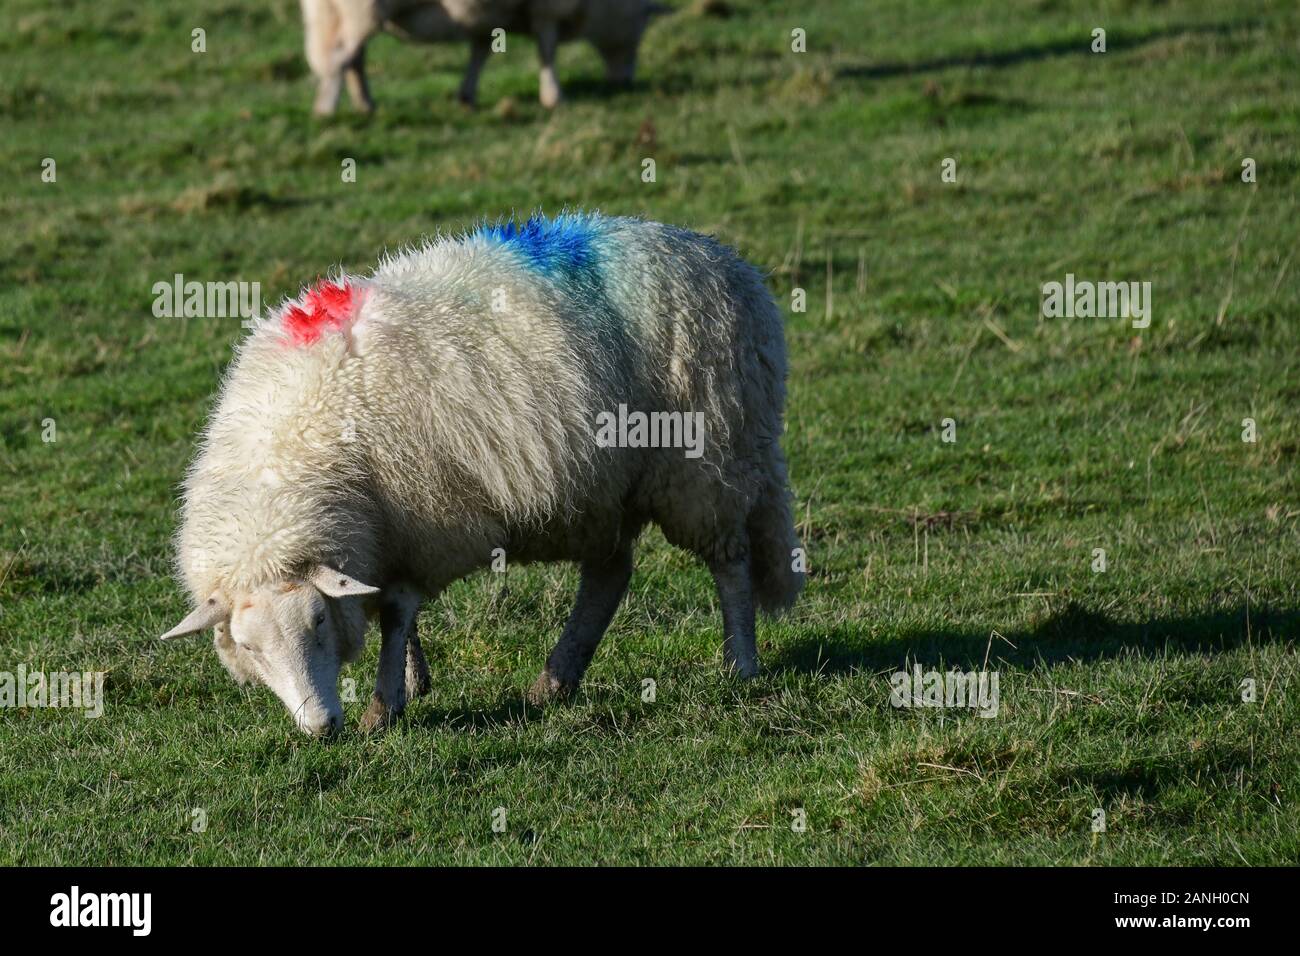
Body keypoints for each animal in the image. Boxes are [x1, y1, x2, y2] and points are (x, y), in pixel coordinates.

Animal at [162, 213, 800, 738]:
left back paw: (740, 663)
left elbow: (397, 612)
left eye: (318, 621)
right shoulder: (389, 532)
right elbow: (393, 611)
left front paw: (383, 706)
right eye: (249, 648)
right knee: (609, 575)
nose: (321, 728)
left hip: (709, 460)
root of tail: (726, 261)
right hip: (608, 489)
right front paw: (412, 681)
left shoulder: (427, 525)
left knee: (730, 561)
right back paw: (556, 680)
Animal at [300, 0, 665, 115]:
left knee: (353, 59)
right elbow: (547, 50)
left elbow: (480, 52)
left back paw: (365, 104)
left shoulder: (487, 18)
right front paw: (553, 96)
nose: (626, 81)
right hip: (363, 10)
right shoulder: (547, 10)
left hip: (340, 12)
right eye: (642, 25)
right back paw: (325, 110)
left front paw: (467, 95)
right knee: (340, 58)